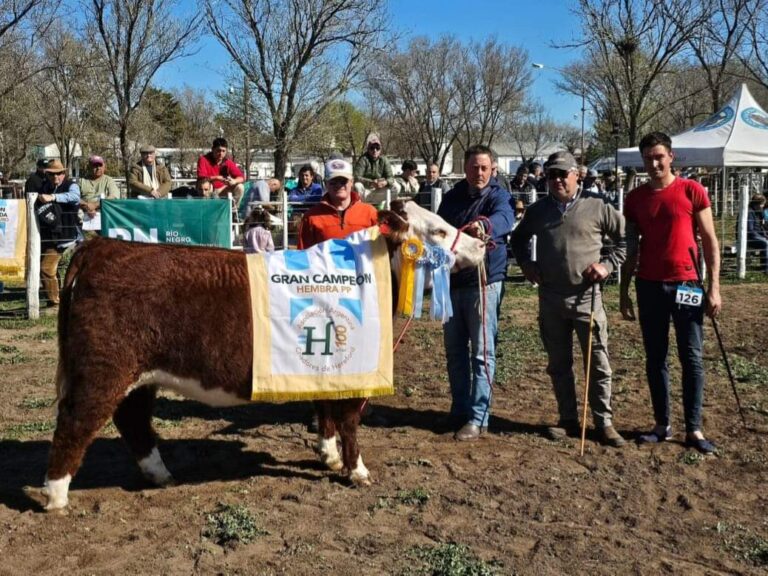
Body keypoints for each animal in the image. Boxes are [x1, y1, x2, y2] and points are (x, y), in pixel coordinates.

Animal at [43, 198, 486, 508]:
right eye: (439, 231)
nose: (482, 244)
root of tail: (100, 247)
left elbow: (326, 411)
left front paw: (327, 456)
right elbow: (349, 420)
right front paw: (356, 470)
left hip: (138, 376)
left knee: (132, 420)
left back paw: (159, 474)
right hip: (103, 369)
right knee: (75, 422)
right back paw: (55, 495)